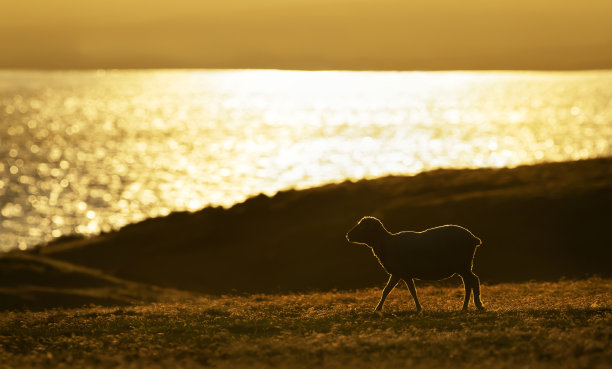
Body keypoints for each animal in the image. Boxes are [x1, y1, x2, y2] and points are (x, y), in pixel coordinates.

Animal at [346, 216, 486, 314]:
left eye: (363, 227)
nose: (348, 235)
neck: (386, 243)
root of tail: (473, 238)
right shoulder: (397, 273)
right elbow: (386, 291)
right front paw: (377, 309)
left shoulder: (403, 272)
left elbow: (412, 291)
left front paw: (419, 309)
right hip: (463, 266)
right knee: (468, 284)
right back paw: (465, 307)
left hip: (463, 264)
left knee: (474, 280)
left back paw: (478, 305)